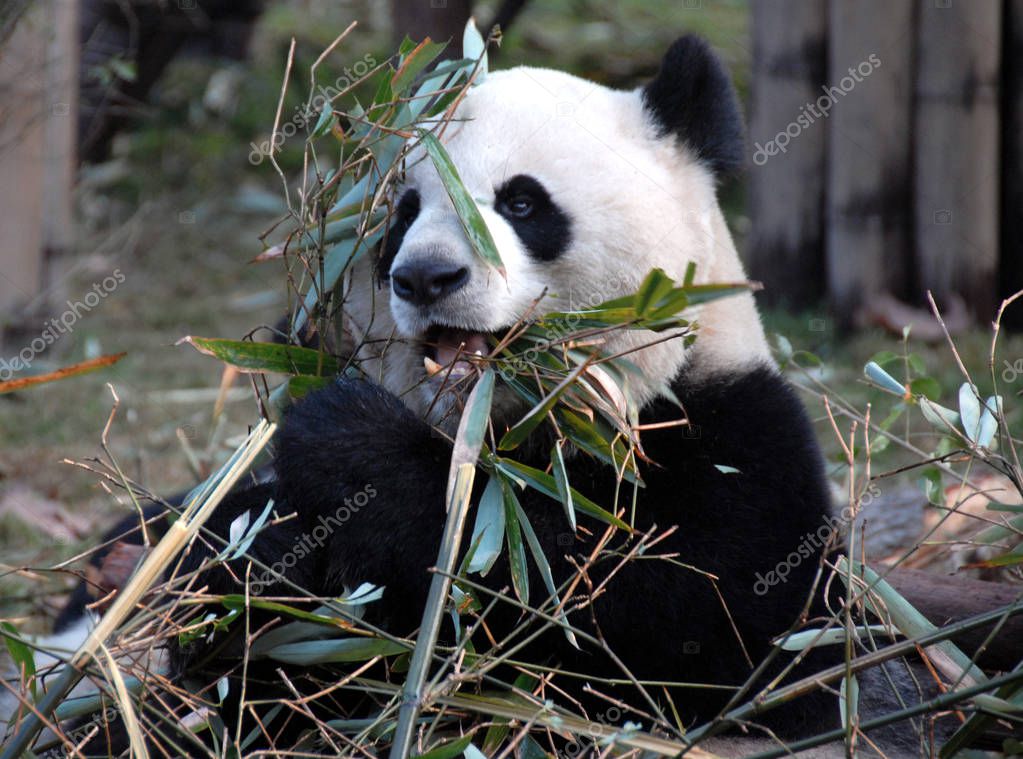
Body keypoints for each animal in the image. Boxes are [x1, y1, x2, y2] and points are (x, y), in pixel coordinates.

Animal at [18, 35, 951, 758]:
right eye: (400, 211)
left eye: (523, 202)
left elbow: (640, 620)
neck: (497, 433)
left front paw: (349, 444)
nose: (427, 277)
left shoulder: (731, 444)